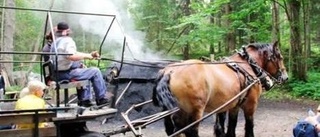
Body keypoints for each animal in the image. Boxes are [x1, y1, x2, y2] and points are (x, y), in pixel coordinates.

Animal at [152, 41, 288, 137]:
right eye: (280, 57)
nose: (286, 77)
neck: (247, 66)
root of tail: (169, 71)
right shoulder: (250, 105)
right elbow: (249, 127)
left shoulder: (234, 106)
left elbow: (231, 127)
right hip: (195, 111)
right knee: (190, 131)